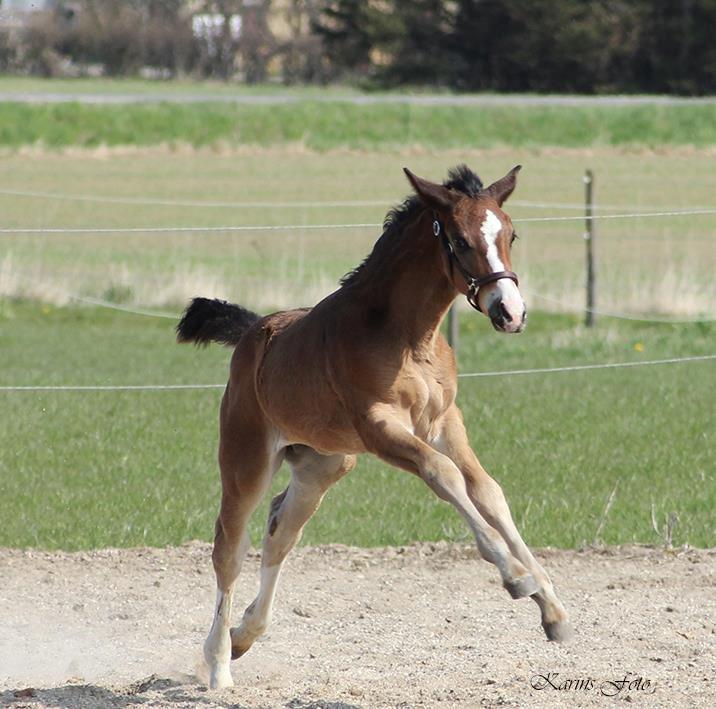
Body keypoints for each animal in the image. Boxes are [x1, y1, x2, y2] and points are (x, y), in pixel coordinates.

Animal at [178, 165, 572, 684]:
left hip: (323, 465)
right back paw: (220, 666)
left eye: (510, 234)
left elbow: (488, 491)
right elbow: (444, 474)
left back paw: (245, 634)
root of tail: (251, 334)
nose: (511, 313)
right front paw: (515, 575)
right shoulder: (380, 427)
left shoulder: (445, 420)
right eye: (460, 240)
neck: (410, 337)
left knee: (280, 534)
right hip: (246, 460)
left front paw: (552, 608)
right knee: (229, 547)